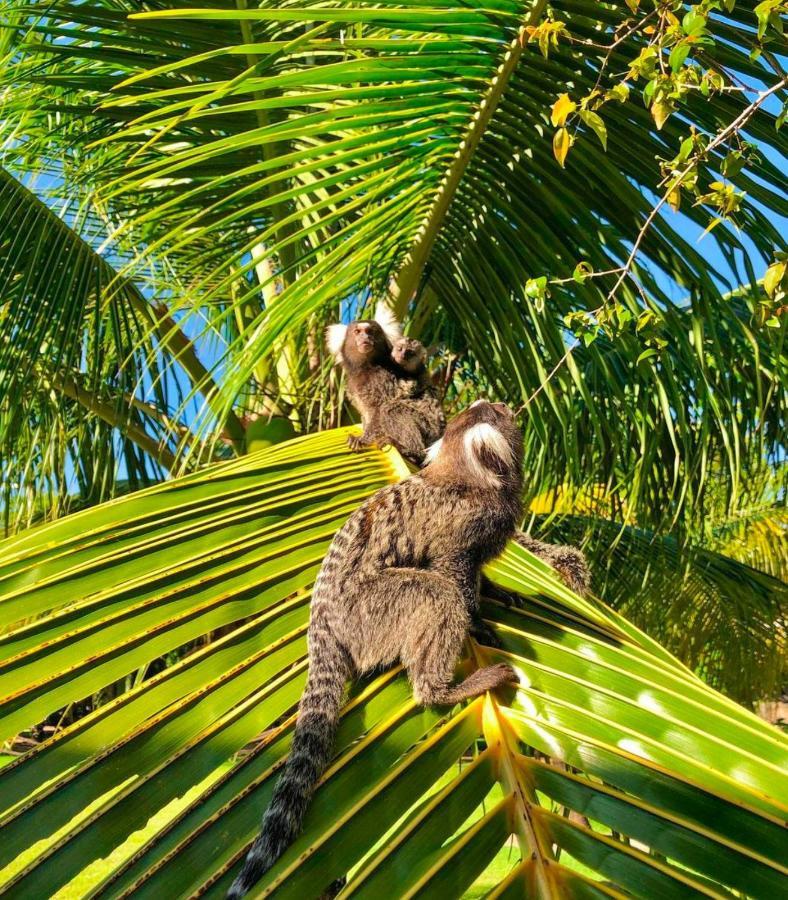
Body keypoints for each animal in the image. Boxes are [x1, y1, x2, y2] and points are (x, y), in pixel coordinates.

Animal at [228, 402, 524, 900]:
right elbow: (453, 574)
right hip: (368, 612)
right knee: (435, 595)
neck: (469, 476)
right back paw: (443, 689)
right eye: (501, 413)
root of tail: (323, 628)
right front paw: (480, 624)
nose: (506, 406)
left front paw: (500, 592)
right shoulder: (463, 529)